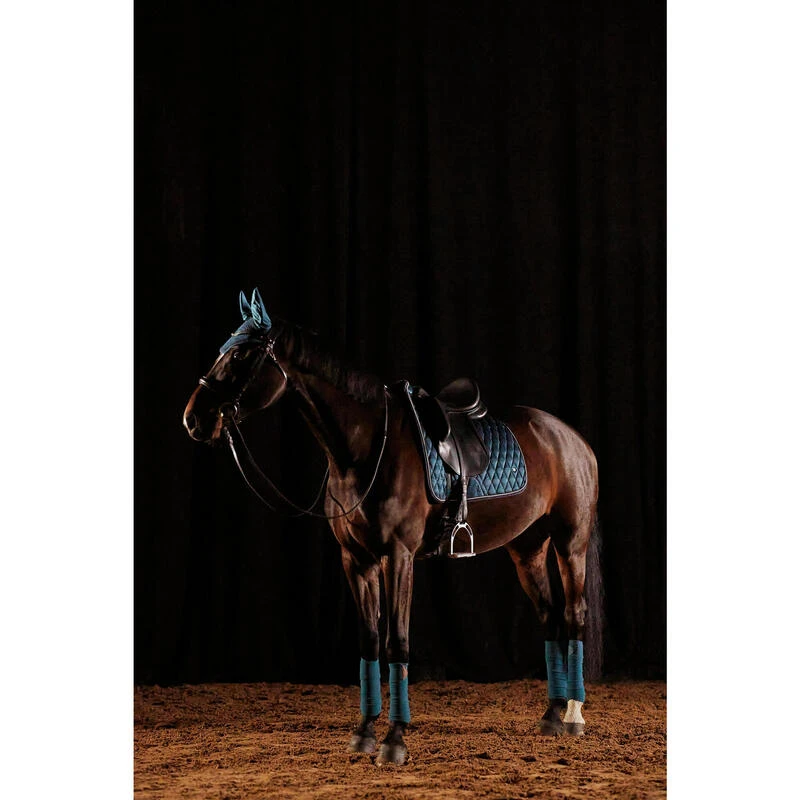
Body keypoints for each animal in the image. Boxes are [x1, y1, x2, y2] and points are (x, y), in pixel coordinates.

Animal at [183, 288, 602, 765]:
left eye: (241, 355)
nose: (194, 419)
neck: (364, 448)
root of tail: (572, 438)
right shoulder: (356, 560)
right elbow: (369, 642)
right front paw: (364, 732)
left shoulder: (397, 558)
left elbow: (395, 642)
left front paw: (394, 740)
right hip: (528, 548)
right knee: (550, 617)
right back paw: (552, 714)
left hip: (570, 543)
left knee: (573, 614)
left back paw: (574, 716)